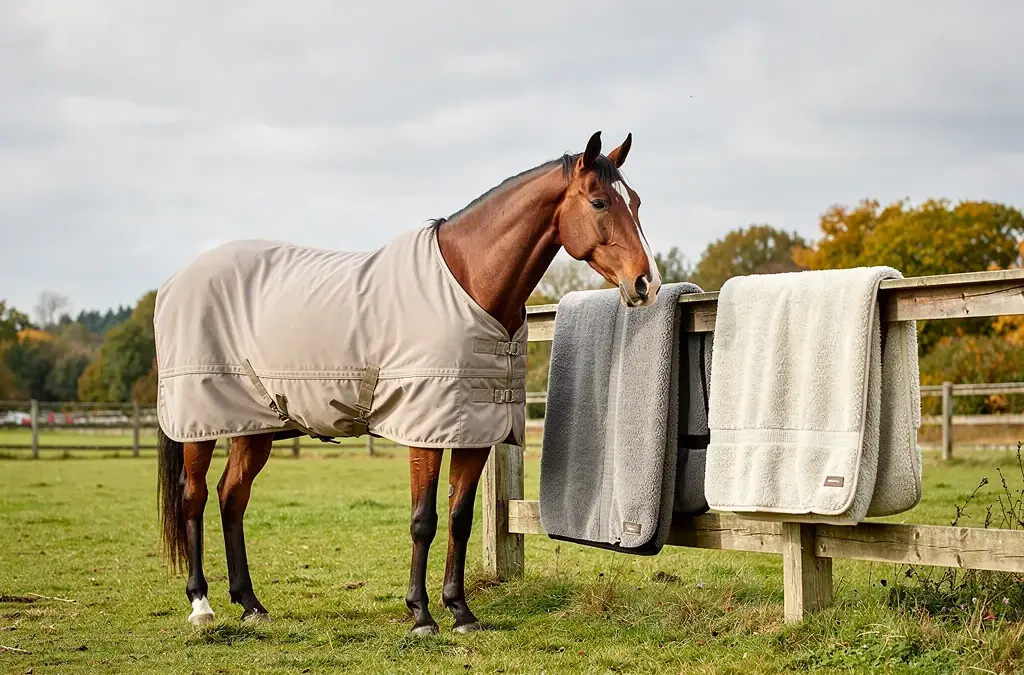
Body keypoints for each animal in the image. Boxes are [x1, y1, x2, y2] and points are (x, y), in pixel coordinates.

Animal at [154, 130, 661, 635]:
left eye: (636, 202)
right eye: (599, 202)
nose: (647, 284)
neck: (468, 281)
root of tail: (175, 281)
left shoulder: (475, 433)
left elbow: (459, 518)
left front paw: (460, 611)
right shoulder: (425, 433)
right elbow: (424, 520)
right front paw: (420, 614)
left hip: (254, 429)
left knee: (232, 497)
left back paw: (251, 603)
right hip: (199, 425)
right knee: (195, 497)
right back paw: (201, 605)